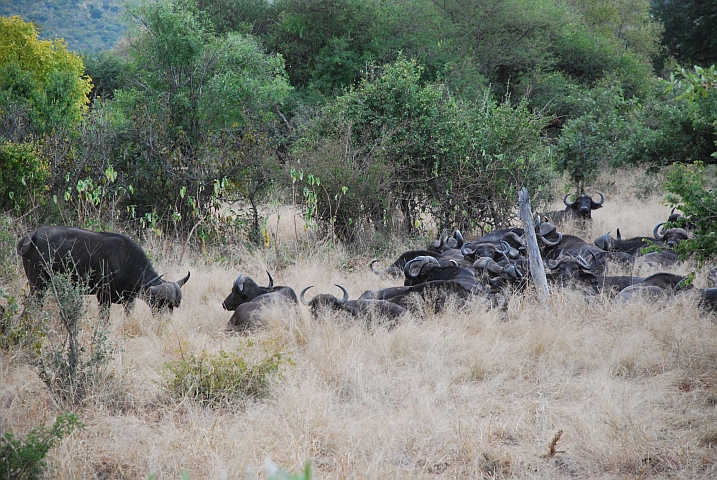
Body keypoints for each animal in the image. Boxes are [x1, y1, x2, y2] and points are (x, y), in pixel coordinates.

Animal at [16, 226, 190, 316]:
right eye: (160, 303)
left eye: (173, 306)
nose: (165, 321)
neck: (127, 262)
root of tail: (32, 236)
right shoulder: (103, 298)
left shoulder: (129, 301)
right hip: (38, 283)